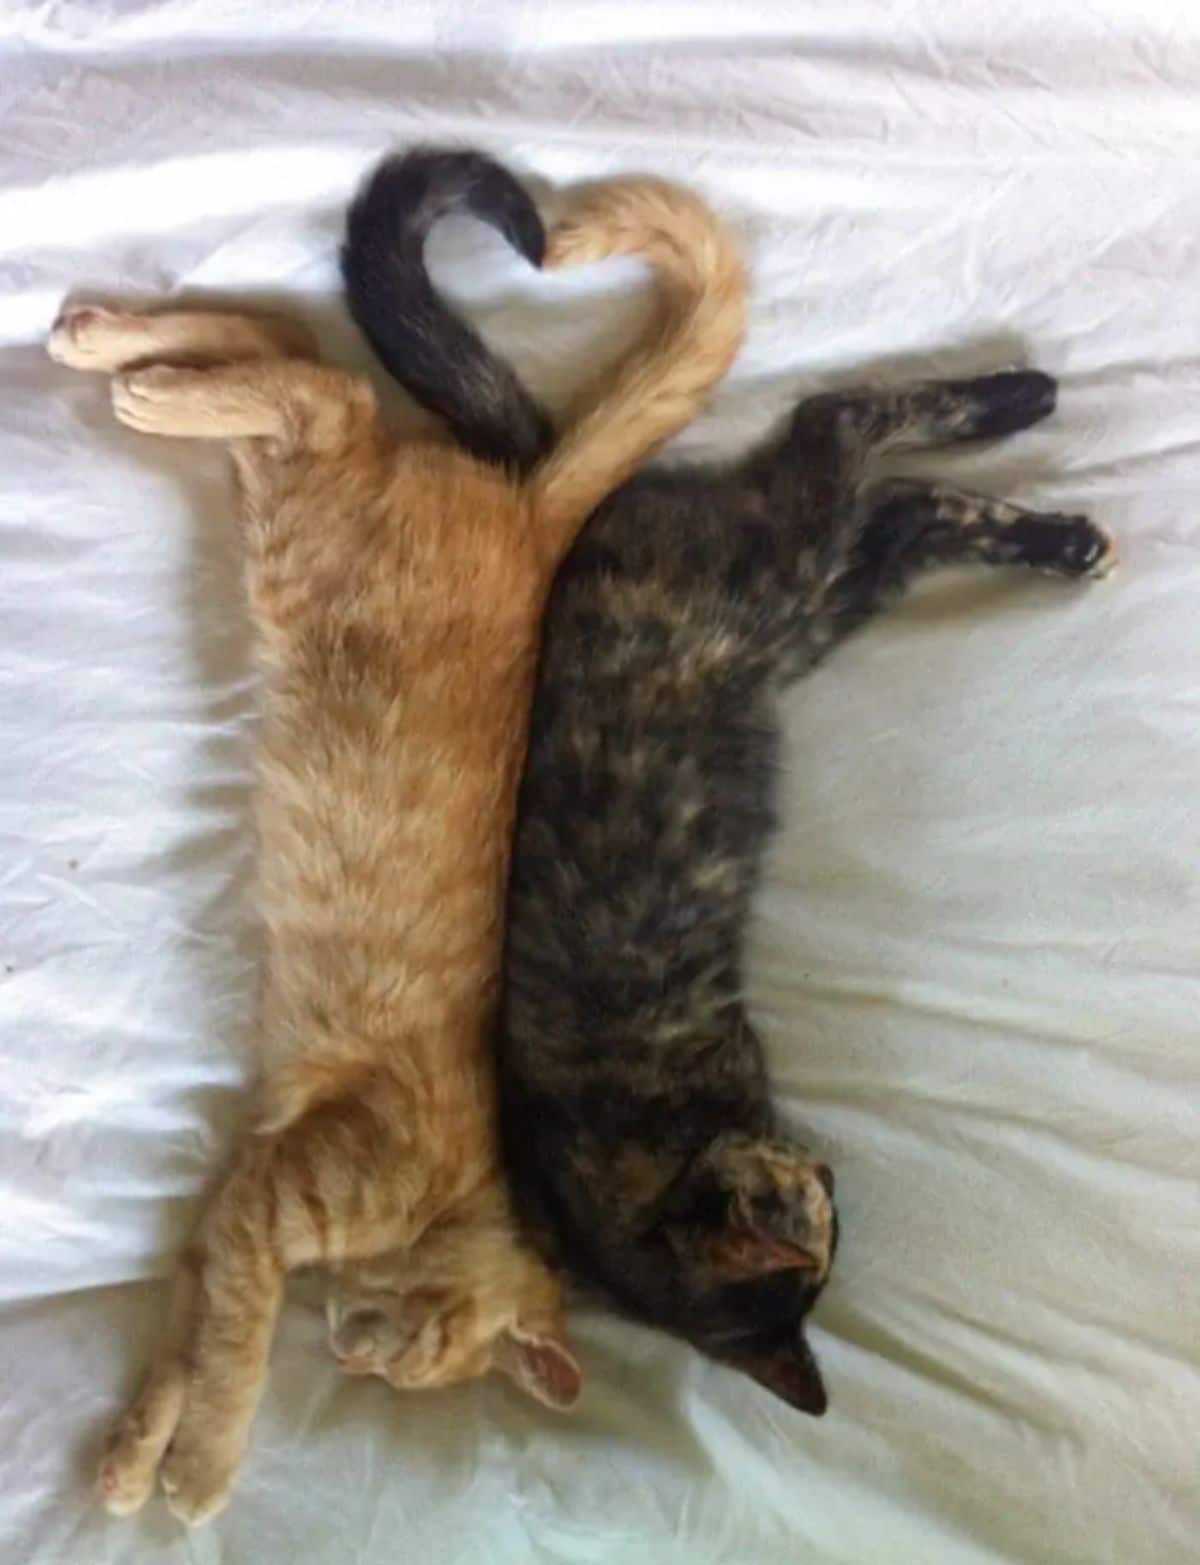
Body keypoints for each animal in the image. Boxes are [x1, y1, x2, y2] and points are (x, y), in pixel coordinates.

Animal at [341, 152, 1113, 1414]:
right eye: (816, 1217)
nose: (828, 1171)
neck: (651, 1152)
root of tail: (564, 504)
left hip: (783, 579)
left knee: (840, 430)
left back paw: (1022, 401)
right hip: (801, 600)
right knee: (887, 494)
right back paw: (1053, 514)